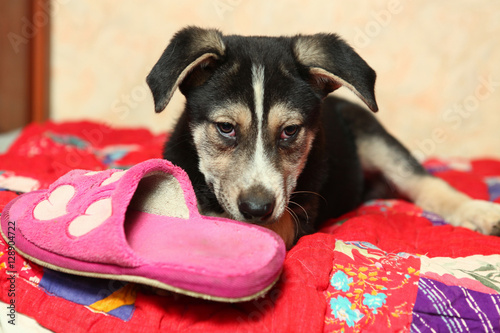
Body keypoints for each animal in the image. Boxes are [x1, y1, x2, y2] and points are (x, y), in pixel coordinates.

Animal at [146, 26, 500, 248]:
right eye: (225, 127)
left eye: (290, 131)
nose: (257, 209)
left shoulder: (297, 215)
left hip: (373, 136)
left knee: (424, 182)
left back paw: (480, 212)